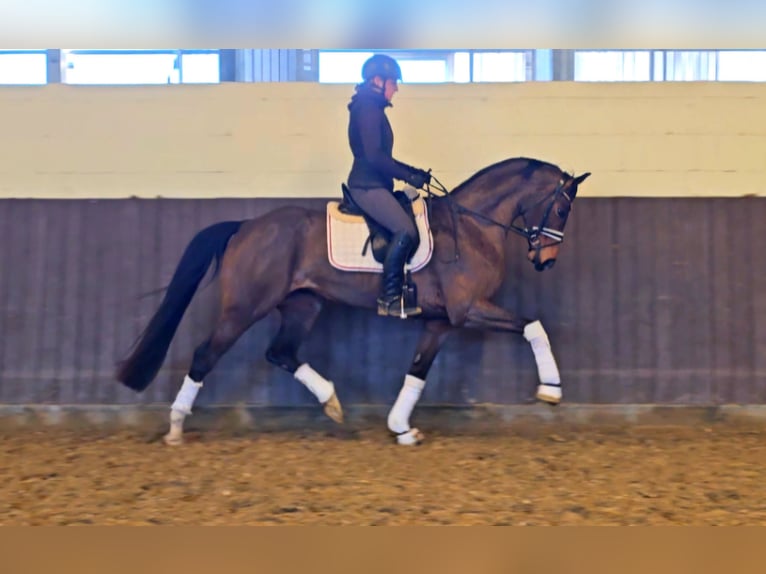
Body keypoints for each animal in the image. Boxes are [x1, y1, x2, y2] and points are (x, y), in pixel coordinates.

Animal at [115, 156, 591, 446]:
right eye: (561, 209)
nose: (545, 261)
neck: (472, 226)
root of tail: (247, 225)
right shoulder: (469, 309)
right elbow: (533, 325)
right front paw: (550, 389)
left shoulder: (441, 321)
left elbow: (417, 370)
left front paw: (401, 429)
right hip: (244, 308)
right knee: (205, 354)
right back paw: (176, 427)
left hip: (303, 305)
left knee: (280, 352)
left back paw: (331, 401)